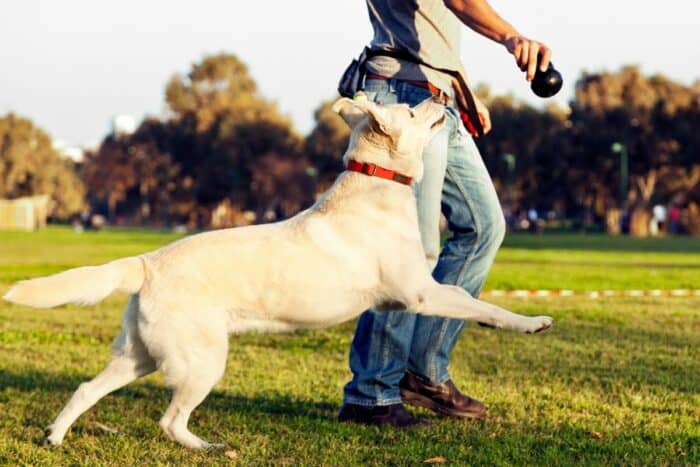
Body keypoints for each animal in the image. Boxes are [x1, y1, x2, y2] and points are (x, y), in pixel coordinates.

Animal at [5, 98, 552, 450]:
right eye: (413, 110)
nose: (443, 97)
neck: (376, 185)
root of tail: (146, 262)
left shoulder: (411, 296)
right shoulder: (420, 293)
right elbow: (477, 301)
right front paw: (531, 323)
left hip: (139, 356)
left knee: (86, 388)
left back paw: (55, 437)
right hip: (202, 361)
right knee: (169, 419)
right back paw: (206, 447)